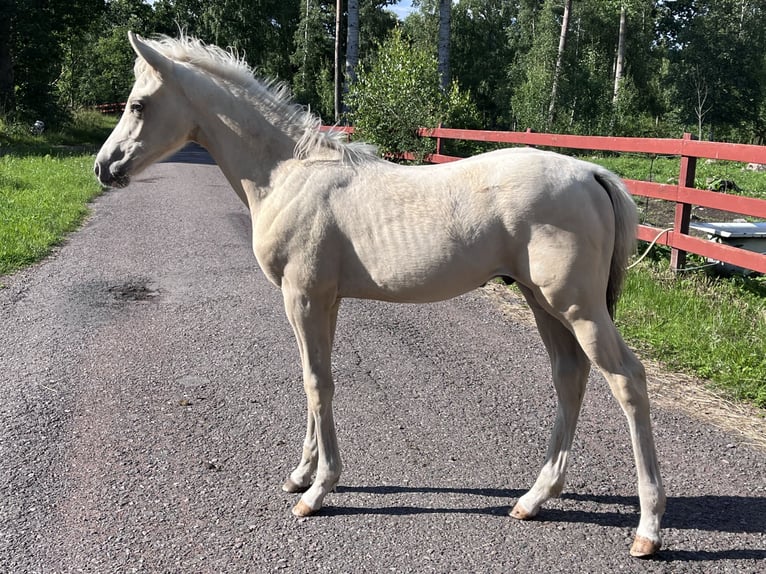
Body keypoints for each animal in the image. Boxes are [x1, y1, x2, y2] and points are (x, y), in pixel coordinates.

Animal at [94, 32, 664, 560]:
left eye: (138, 104)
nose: (104, 167)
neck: (289, 174)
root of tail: (592, 172)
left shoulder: (303, 297)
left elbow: (318, 383)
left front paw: (318, 492)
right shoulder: (321, 301)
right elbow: (313, 381)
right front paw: (301, 474)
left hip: (576, 307)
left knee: (627, 381)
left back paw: (648, 529)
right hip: (542, 302)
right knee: (570, 376)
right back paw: (534, 498)